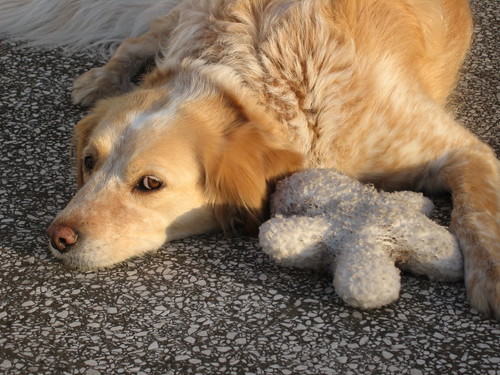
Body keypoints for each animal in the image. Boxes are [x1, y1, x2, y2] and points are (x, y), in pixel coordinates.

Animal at [1, 0, 498, 320]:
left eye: (149, 184)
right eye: (89, 161)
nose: (58, 238)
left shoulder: (463, 150)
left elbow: (476, 214)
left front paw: (490, 276)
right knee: (141, 37)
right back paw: (101, 79)